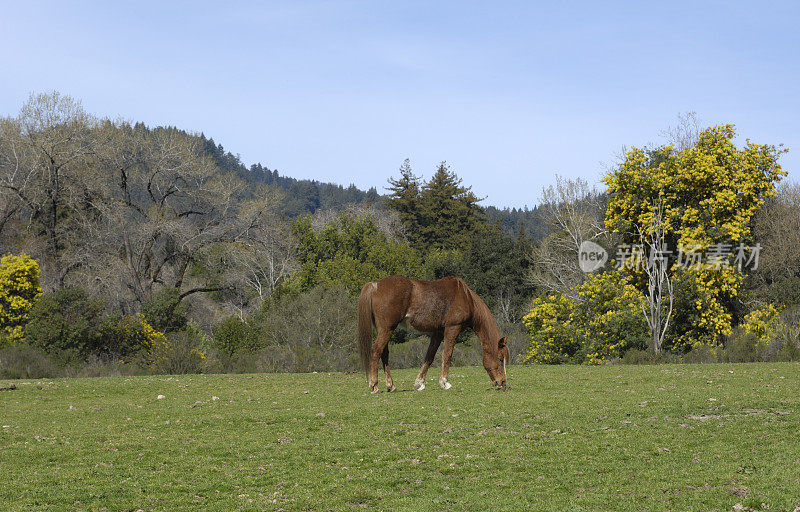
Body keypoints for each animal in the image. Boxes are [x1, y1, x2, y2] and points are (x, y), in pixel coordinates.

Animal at [360, 276, 510, 392]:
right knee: (376, 351)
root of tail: (375, 285)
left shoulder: (438, 333)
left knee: (384, 354)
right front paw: (445, 382)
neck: (466, 297)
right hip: (387, 329)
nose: (503, 382)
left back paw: (391, 386)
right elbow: (447, 355)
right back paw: (374, 386)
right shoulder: (452, 329)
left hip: (385, 330)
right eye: (500, 359)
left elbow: (429, 357)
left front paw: (419, 383)